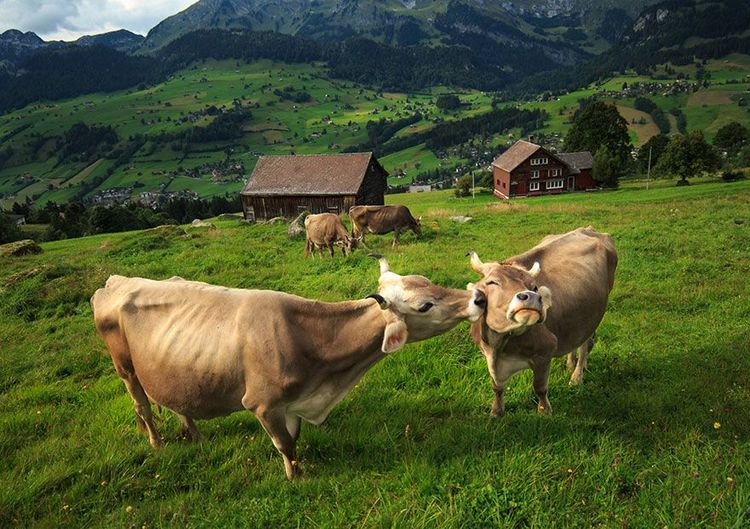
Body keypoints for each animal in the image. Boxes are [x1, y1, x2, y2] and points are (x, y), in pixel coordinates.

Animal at [91, 255, 486, 480]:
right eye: (424, 305)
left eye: (428, 281)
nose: (479, 297)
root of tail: (116, 280)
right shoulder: (262, 404)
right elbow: (284, 444)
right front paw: (294, 478)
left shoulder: (294, 402)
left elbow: (294, 440)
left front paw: (299, 469)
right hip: (125, 369)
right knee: (142, 406)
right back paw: (157, 443)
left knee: (177, 403)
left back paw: (196, 436)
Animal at [467, 227, 617, 416]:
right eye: (492, 282)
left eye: (534, 286)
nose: (530, 297)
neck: (499, 345)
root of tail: (588, 229)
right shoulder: (488, 355)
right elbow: (497, 387)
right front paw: (496, 411)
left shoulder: (545, 351)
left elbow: (539, 387)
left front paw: (544, 410)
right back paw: (570, 363)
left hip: (594, 316)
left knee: (585, 346)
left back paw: (576, 377)